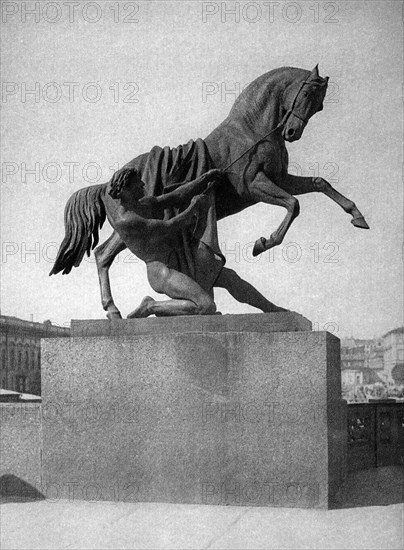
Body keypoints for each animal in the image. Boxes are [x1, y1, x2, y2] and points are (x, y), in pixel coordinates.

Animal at [50, 65, 370, 322]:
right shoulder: (253, 184)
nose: (292, 133)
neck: (252, 130)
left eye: (320, 106)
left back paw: (115, 311)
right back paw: (116, 310)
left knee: (103, 254)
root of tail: (107, 183)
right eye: (305, 95)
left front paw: (357, 216)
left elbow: (320, 183)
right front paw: (263, 243)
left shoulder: (281, 179)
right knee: (104, 254)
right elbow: (294, 204)